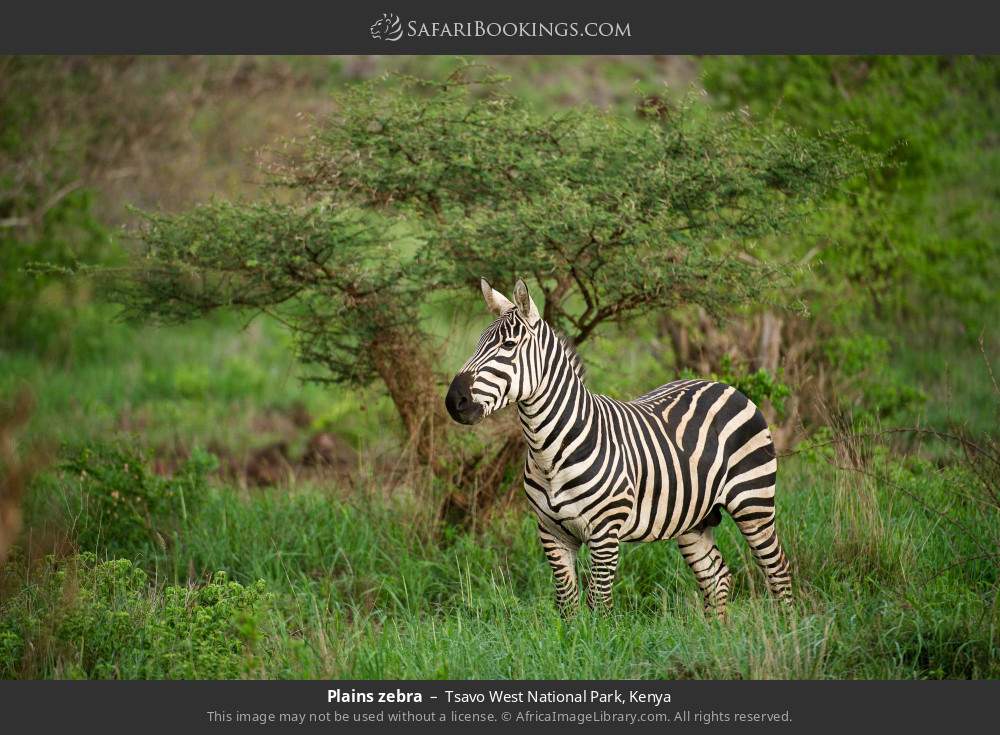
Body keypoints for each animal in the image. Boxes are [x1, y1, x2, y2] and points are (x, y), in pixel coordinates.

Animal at [445, 278, 793, 617]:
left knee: (778, 569)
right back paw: (715, 633)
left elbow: (599, 605)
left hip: (753, 502)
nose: (453, 401)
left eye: (508, 345)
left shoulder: (604, 533)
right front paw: (569, 635)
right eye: (477, 343)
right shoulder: (551, 533)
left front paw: (598, 637)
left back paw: (784, 628)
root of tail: (725, 385)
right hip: (695, 518)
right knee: (716, 576)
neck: (549, 452)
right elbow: (568, 605)